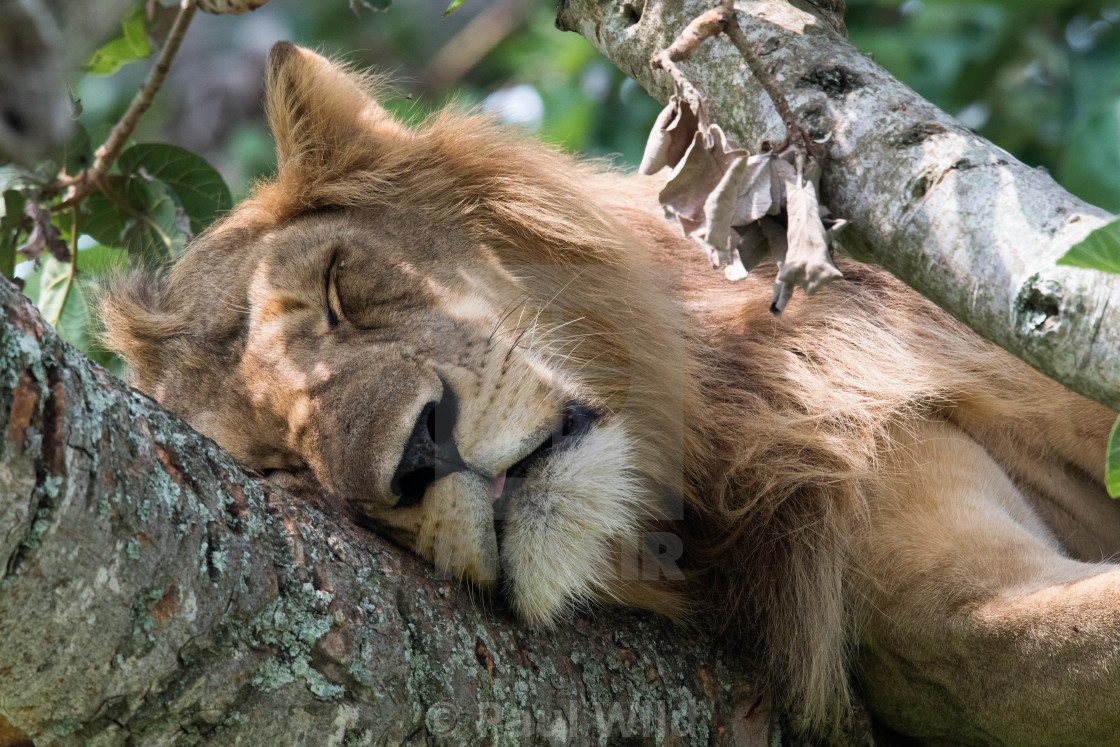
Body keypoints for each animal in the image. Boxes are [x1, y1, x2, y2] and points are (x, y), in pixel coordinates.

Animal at [100, 43, 1120, 743]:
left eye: (339, 287)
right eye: (285, 475)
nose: (418, 452)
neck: (734, 410)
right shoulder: (941, 617)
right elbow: (1037, 643)